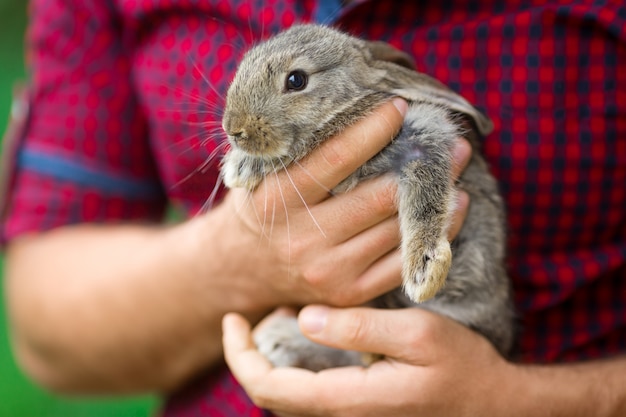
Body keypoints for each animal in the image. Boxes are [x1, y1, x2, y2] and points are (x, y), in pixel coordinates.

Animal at [219, 24, 512, 368]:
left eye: (296, 80)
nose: (233, 129)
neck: (348, 107)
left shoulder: (424, 133)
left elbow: (427, 195)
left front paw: (424, 271)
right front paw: (239, 165)